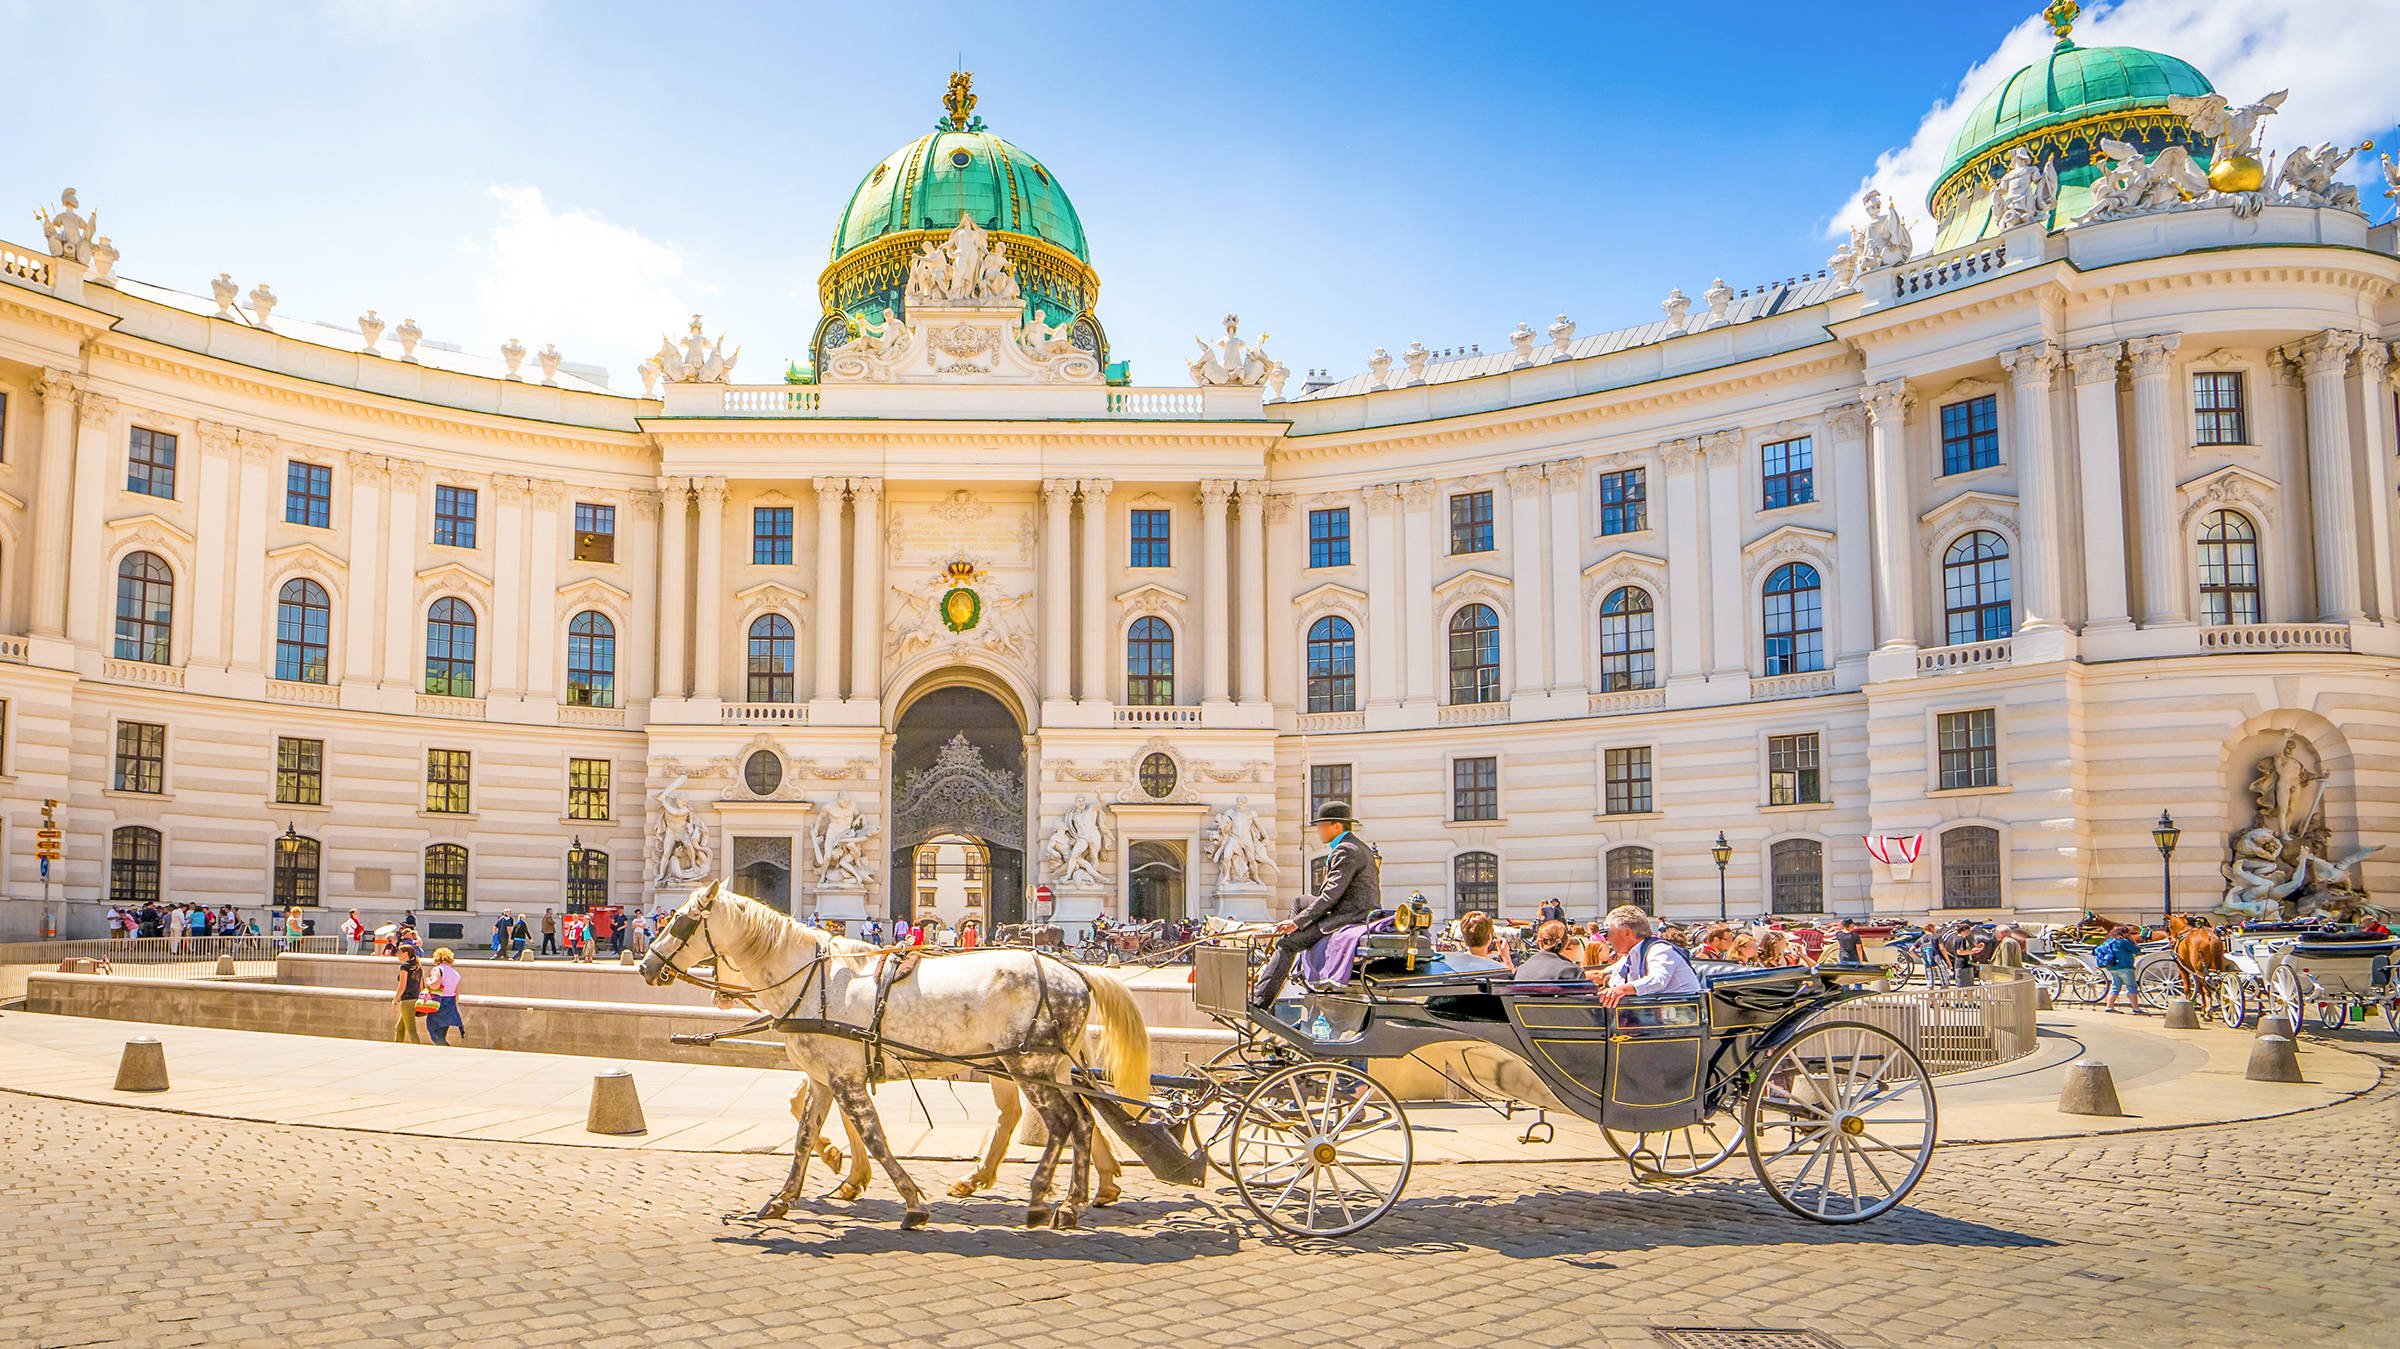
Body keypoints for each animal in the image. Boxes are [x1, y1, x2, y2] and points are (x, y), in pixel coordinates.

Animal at [643, 883, 1147, 1228]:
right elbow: (805, 1137)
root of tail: (1075, 969)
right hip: (1048, 1066)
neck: (811, 979)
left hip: (1028, 1066)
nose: (647, 965)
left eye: (680, 921)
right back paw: (1076, 1199)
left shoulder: (845, 1078)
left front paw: (911, 1202)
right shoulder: (825, 1078)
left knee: (1063, 1122)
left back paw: (1044, 1198)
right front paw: (785, 1198)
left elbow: (876, 1138)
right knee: (1083, 1120)